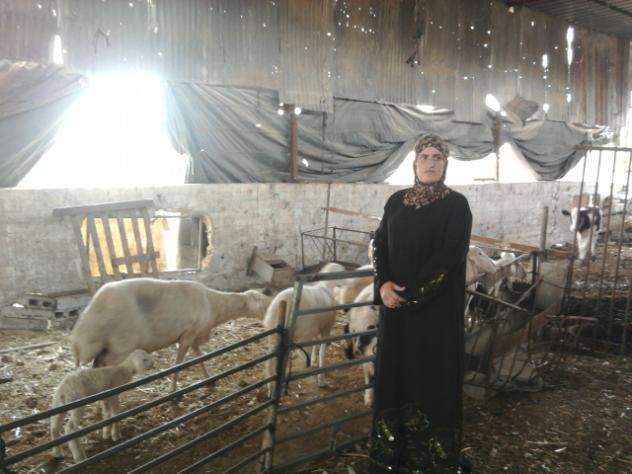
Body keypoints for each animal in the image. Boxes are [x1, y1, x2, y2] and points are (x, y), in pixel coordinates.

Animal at [71, 278, 271, 391]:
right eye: (262, 303)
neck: (214, 305)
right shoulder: (187, 336)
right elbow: (179, 364)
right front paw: (173, 390)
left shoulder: (194, 336)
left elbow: (200, 358)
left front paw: (209, 379)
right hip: (118, 348)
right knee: (104, 370)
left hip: (107, 350)